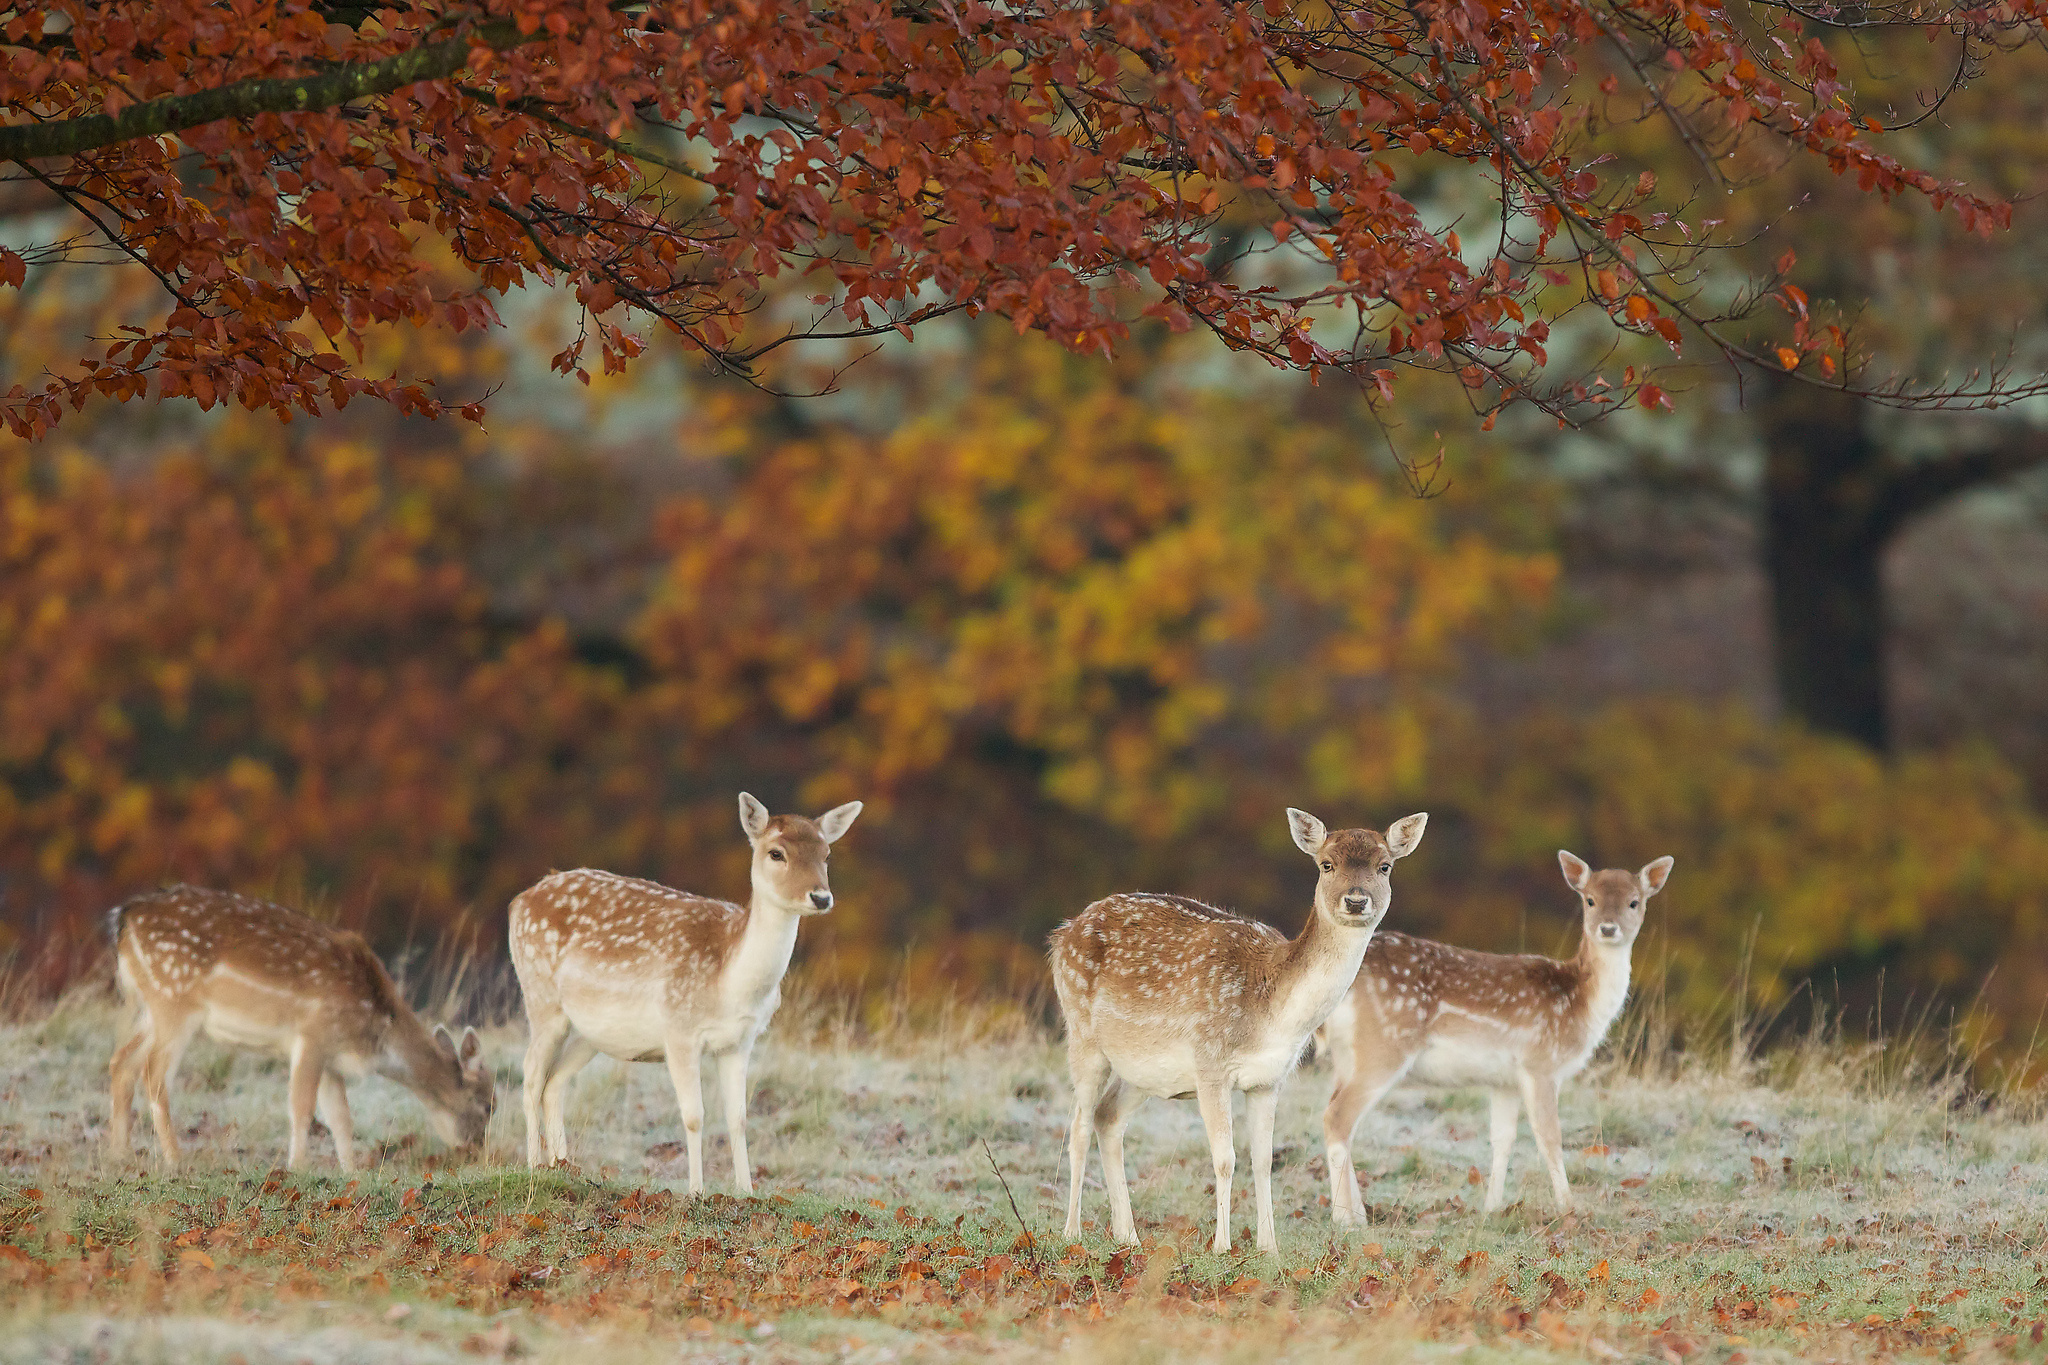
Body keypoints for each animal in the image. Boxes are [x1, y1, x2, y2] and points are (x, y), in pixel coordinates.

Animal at [108, 885, 497, 1171]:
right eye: (489, 1105)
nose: (477, 1150)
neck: (375, 1025)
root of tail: (125, 918)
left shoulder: (332, 1054)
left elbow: (341, 1117)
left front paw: (351, 1172)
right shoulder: (313, 1034)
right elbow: (302, 1107)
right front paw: (297, 1168)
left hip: (149, 1008)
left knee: (121, 1061)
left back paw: (122, 1155)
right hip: (173, 1000)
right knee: (153, 1073)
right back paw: (175, 1161)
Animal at [508, 791, 861, 1191]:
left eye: (826, 854)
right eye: (776, 853)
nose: (820, 897)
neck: (730, 983)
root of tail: (518, 902)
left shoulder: (741, 1041)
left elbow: (738, 1117)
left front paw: (746, 1191)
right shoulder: (678, 1030)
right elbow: (694, 1115)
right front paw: (696, 1191)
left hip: (590, 1032)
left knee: (554, 1082)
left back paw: (563, 1168)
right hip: (541, 998)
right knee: (531, 1077)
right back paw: (534, 1167)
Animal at [1050, 807, 1427, 1254]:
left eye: (1384, 866)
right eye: (1326, 864)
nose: (1355, 900)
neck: (1272, 1015)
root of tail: (1063, 933)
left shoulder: (1269, 1079)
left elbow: (1262, 1160)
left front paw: (1269, 1246)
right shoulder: (1210, 1063)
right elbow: (1225, 1158)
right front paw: (1222, 1245)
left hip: (1141, 1070)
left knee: (1107, 1117)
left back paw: (1129, 1235)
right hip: (1081, 1033)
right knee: (1078, 1125)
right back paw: (1072, 1232)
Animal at [1317, 850, 1675, 1223]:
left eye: (1634, 902)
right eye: (1590, 900)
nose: (1608, 928)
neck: (1579, 1004)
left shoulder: (1504, 1080)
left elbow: (1502, 1139)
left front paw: (1491, 1208)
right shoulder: (1540, 1063)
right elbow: (1550, 1137)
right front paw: (1568, 1210)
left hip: (1348, 1057)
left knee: (1336, 1115)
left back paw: (1357, 1213)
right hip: (1384, 1045)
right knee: (1337, 1117)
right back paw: (1346, 1220)